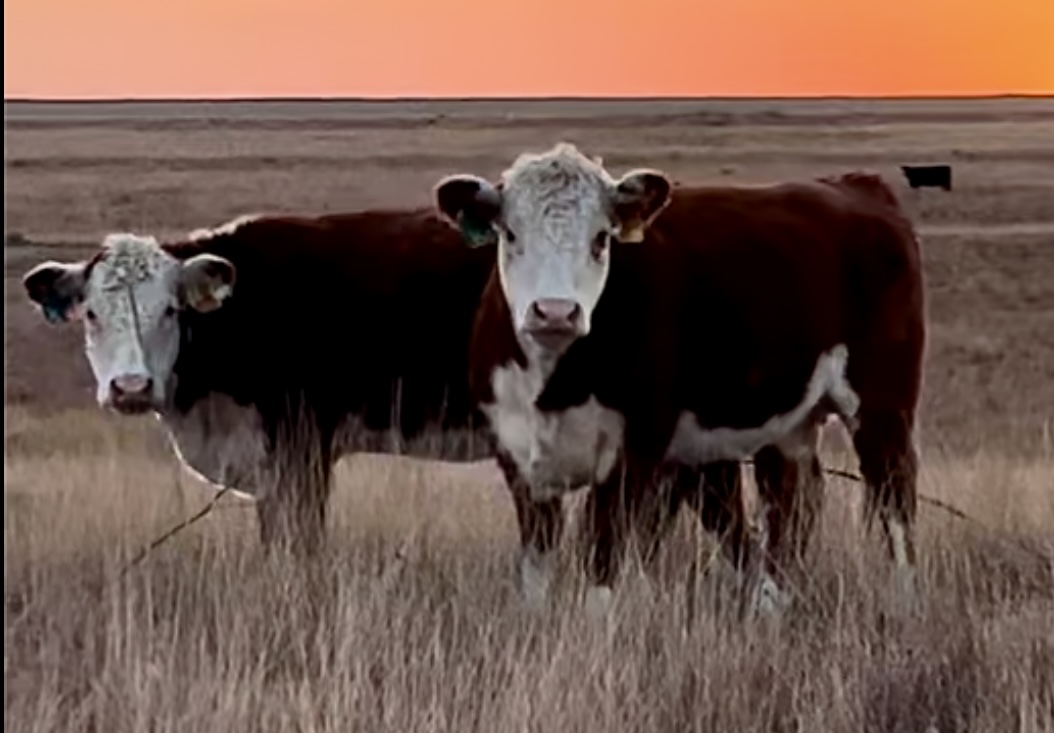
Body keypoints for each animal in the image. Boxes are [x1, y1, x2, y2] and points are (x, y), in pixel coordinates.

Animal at [432, 143, 927, 611]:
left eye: (601, 238)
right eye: (511, 234)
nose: (555, 311)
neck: (553, 388)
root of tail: (855, 185)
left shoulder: (634, 454)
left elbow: (602, 566)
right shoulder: (519, 460)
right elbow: (535, 571)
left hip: (881, 403)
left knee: (894, 496)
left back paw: (906, 602)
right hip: (791, 422)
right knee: (791, 504)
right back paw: (770, 607)